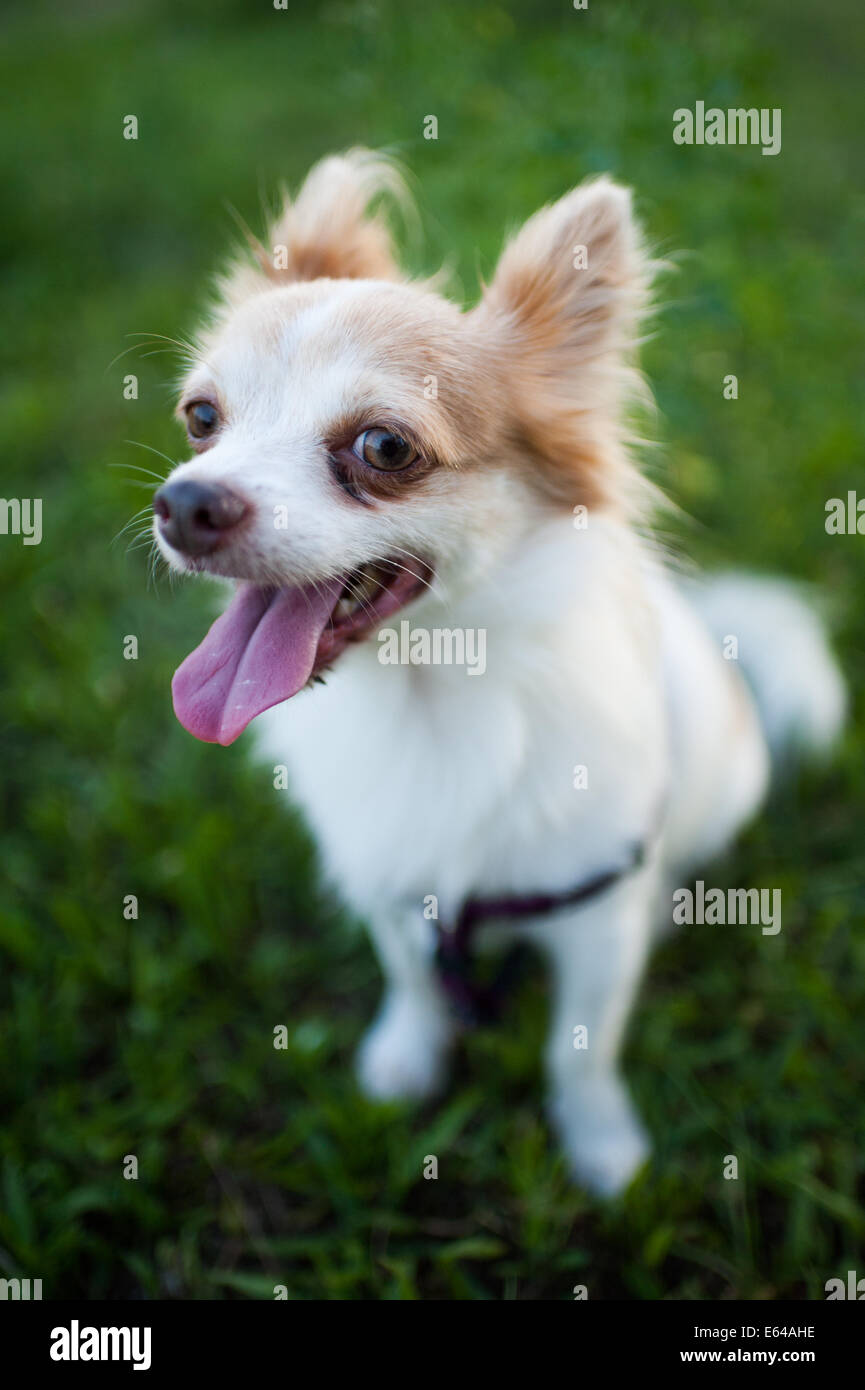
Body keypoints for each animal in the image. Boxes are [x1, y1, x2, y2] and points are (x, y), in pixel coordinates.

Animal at [150, 149, 845, 1195]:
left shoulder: (593, 919)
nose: (184, 502)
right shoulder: (393, 880)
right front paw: (406, 1059)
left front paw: (601, 1148)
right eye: (201, 419)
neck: (430, 692)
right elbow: (412, 981)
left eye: (384, 448)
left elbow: (578, 1050)